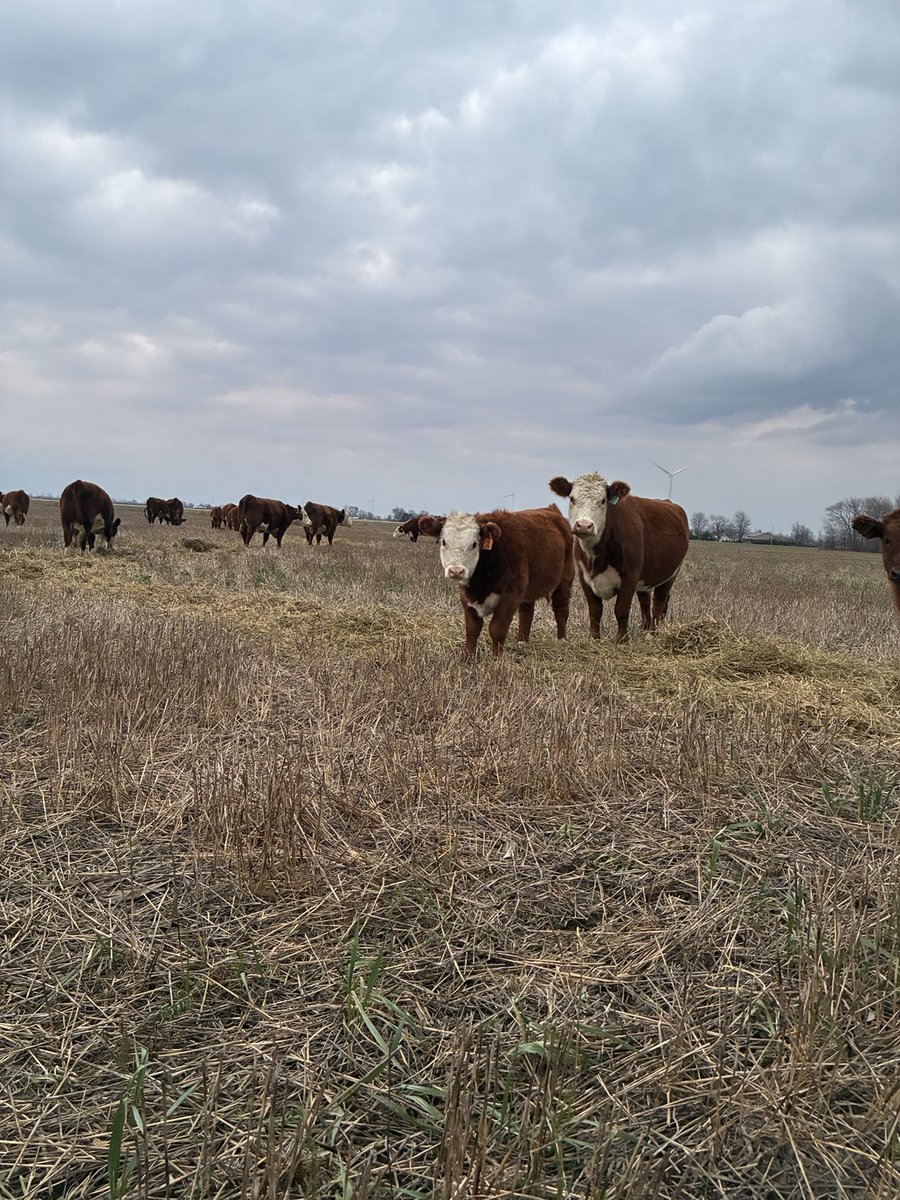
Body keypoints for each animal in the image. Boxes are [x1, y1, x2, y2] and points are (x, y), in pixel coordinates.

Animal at [418, 506, 574, 658]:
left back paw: (561, 641)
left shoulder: (511, 596)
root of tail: (551, 509)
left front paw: (497, 660)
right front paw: (467, 658)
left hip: (565, 578)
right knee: (527, 612)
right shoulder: (466, 596)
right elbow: (472, 629)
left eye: (474, 544)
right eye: (444, 542)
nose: (456, 571)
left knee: (561, 608)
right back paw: (522, 643)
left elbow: (497, 629)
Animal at [549, 472, 689, 643]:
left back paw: (652, 634)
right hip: (645, 578)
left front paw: (622, 640)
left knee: (658, 602)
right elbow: (595, 611)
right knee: (645, 602)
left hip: (670, 574)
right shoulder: (584, 577)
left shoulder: (630, 575)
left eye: (603, 500)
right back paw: (644, 630)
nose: (583, 525)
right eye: (572, 498)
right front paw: (594, 639)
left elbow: (621, 610)